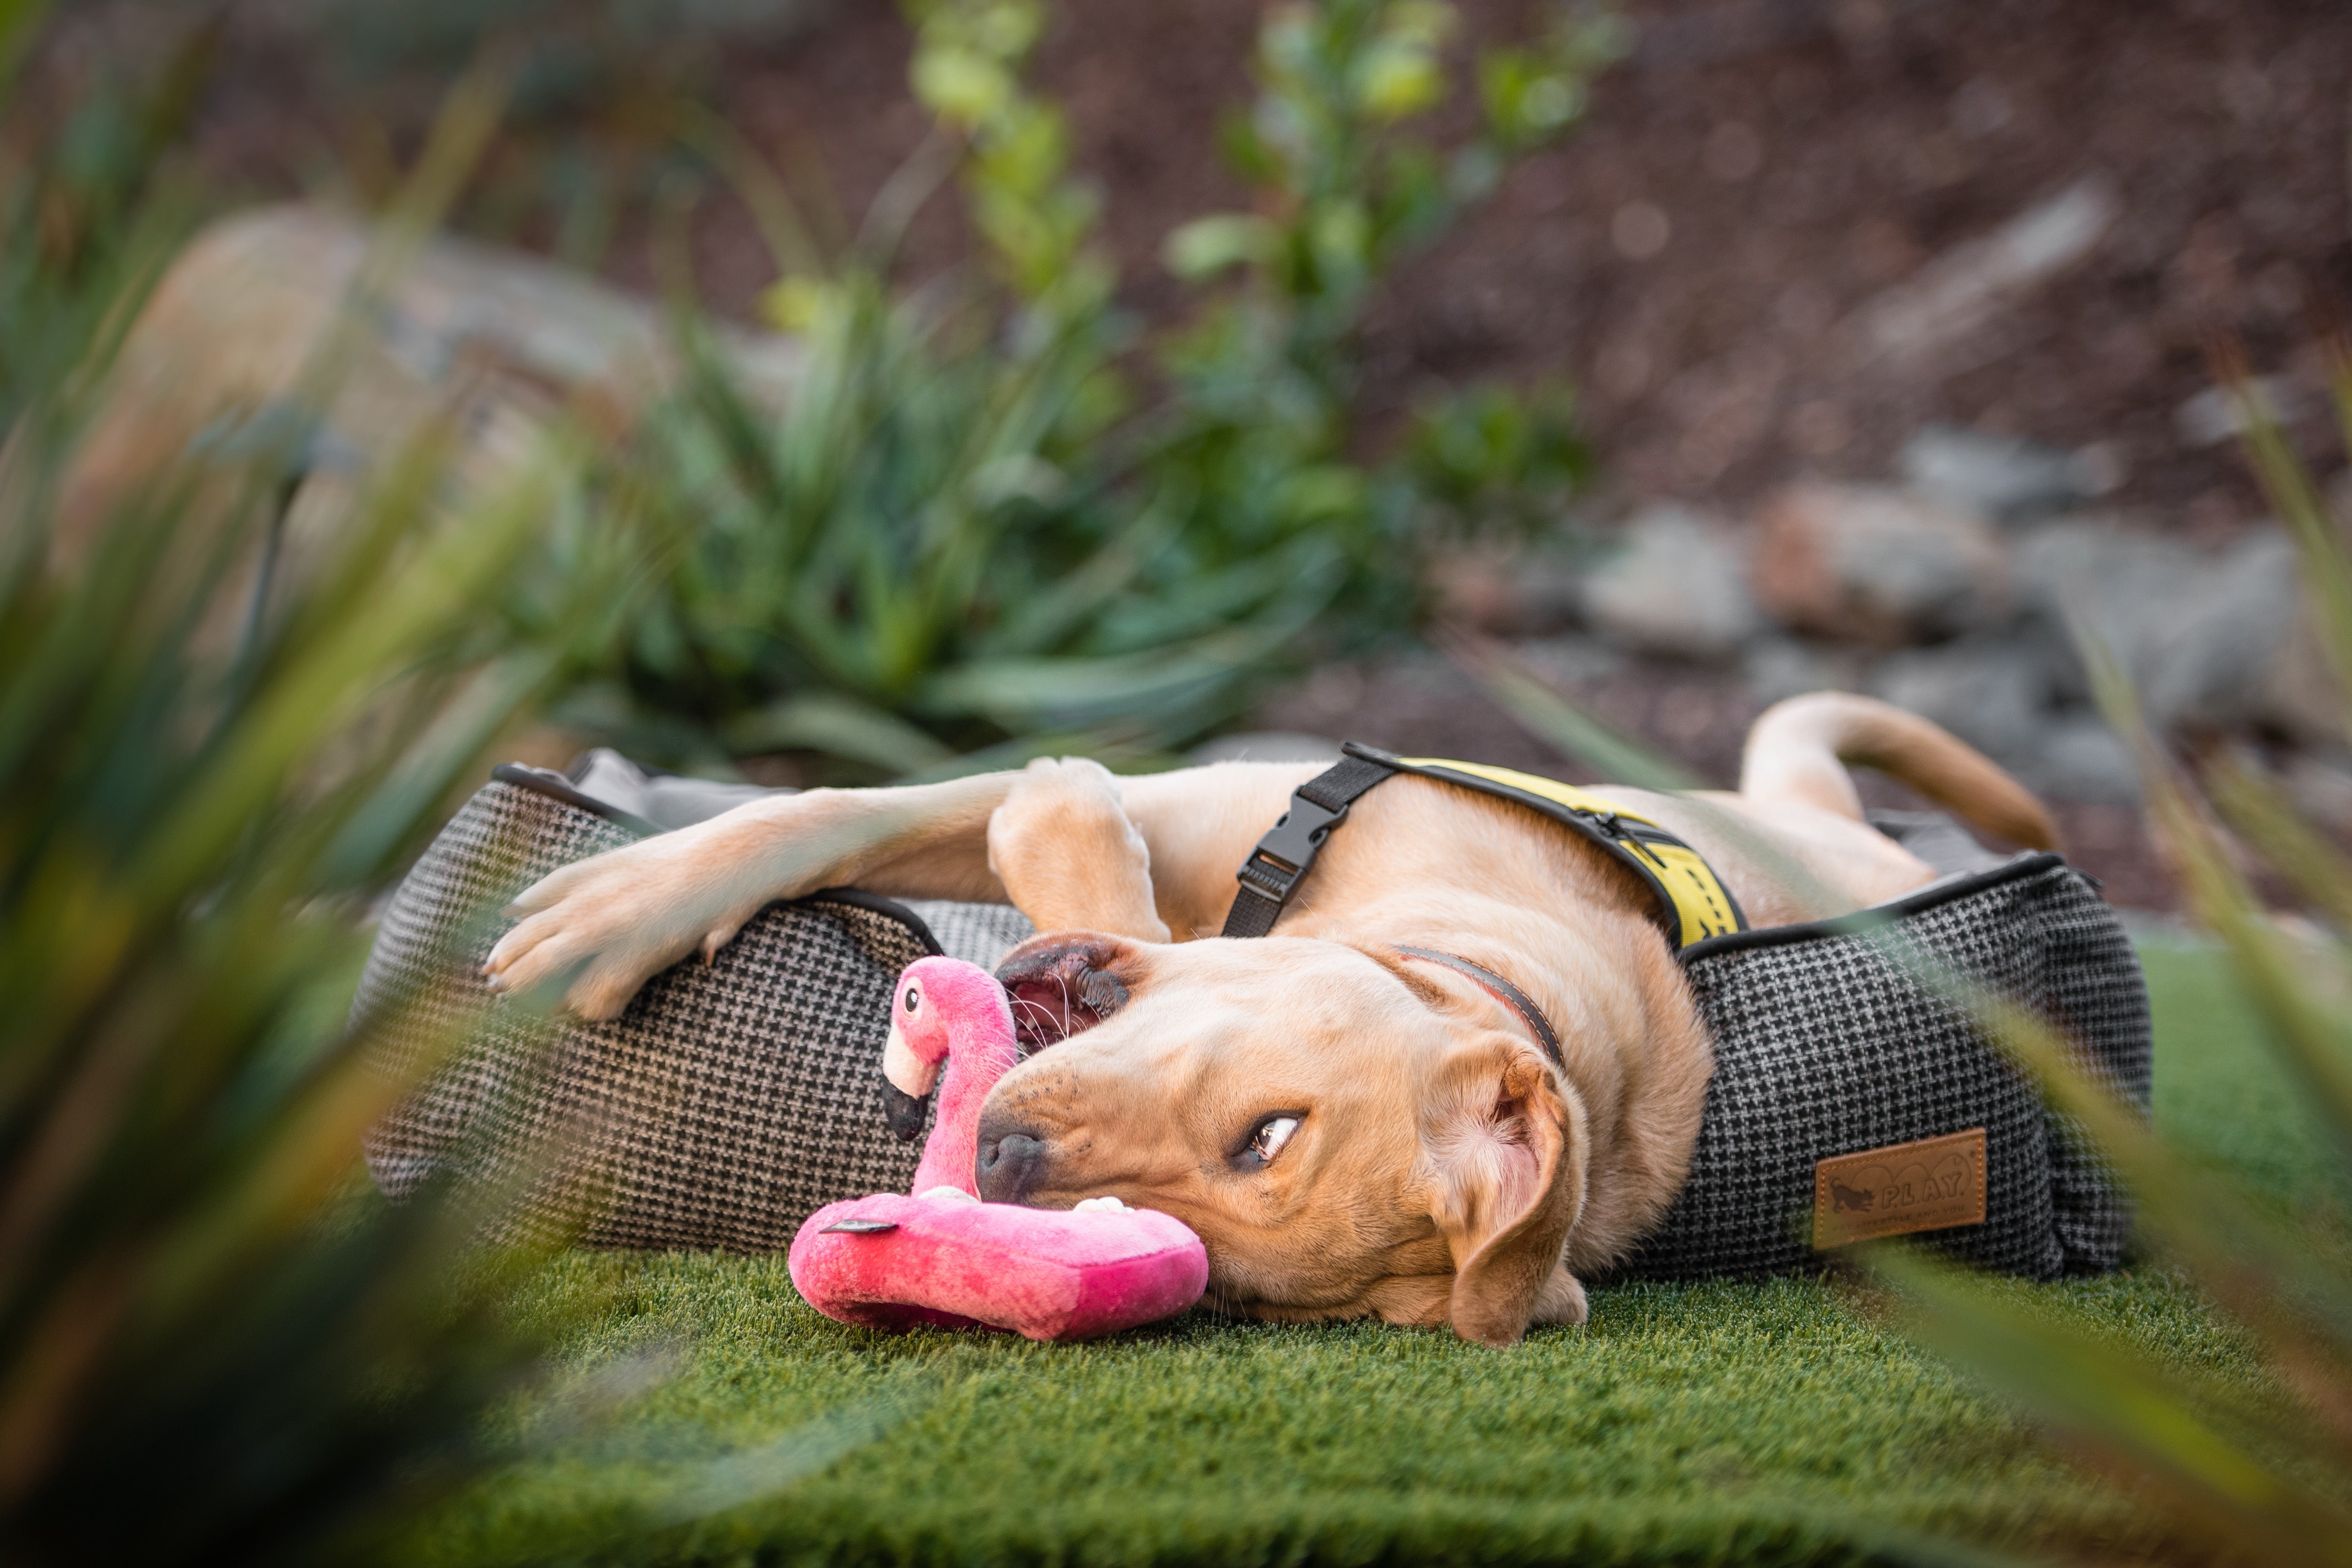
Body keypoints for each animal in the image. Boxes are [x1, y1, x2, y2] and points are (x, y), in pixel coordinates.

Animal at [487, 700, 2051, 1354]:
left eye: (1222, 1277)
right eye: (1270, 1129)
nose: (997, 1169)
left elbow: (1053, 828)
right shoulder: (1199, 800)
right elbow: (829, 806)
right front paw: (619, 902)